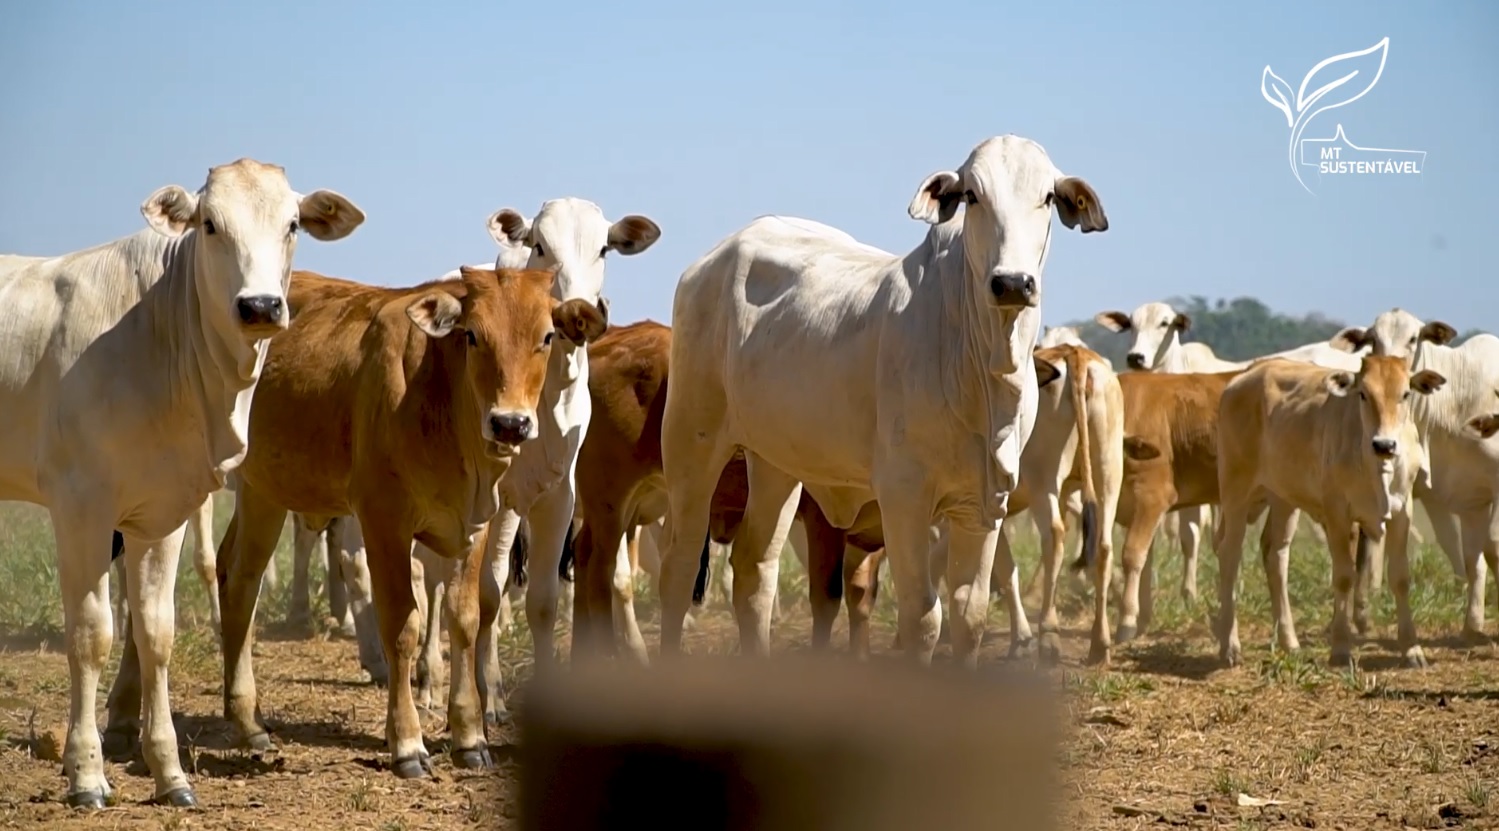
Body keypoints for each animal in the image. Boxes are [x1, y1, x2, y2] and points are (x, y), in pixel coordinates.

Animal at [0, 158, 365, 804]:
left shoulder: (160, 515)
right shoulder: (80, 508)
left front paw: (169, 772)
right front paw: (86, 772)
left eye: (293, 224)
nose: (261, 306)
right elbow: (93, 634)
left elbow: (155, 634)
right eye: (211, 224)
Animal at [212, 267, 608, 774]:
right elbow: (403, 626)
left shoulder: (476, 525)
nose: (510, 424)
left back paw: (248, 721)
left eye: (546, 336)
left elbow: (464, 620)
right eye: (473, 335)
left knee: (237, 575)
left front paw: (470, 737)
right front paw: (406, 742)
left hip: (263, 490)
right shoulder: (384, 521)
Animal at [659, 137, 1115, 666]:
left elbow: (970, 615)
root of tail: (714, 258)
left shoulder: (985, 504)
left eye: (1046, 197)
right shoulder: (904, 496)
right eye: (973, 196)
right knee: (679, 563)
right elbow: (923, 617)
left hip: (776, 461)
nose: (1012, 283)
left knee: (754, 567)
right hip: (692, 440)